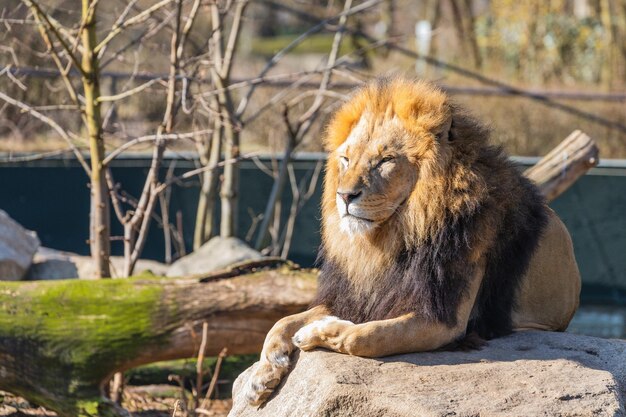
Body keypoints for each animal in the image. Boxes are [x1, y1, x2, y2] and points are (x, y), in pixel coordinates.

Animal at [244, 76, 580, 404]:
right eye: (346, 159)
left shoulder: (445, 321)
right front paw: (262, 375)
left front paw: (314, 333)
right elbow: (282, 322)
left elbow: (363, 337)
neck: (390, 239)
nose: (344, 195)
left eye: (385, 160)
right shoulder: (358, 295)